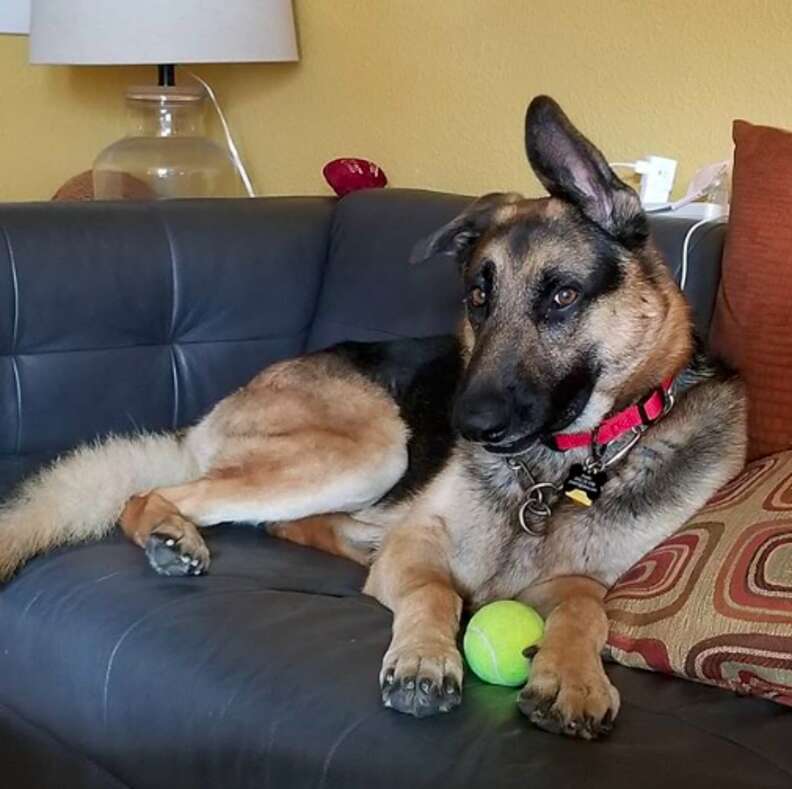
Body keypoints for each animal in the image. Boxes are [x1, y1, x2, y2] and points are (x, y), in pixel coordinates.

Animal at [0, 97, 744, 740]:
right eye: (478, 297)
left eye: (562, 296)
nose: (464, 424)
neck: (559, 468)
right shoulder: (421, 549)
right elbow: (436, 592)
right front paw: (423, 657)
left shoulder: (583, 580)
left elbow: (584, 604)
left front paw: (574, 677)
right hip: (376, 449)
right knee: (155, 494)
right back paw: (170, 533)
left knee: (279, 520)